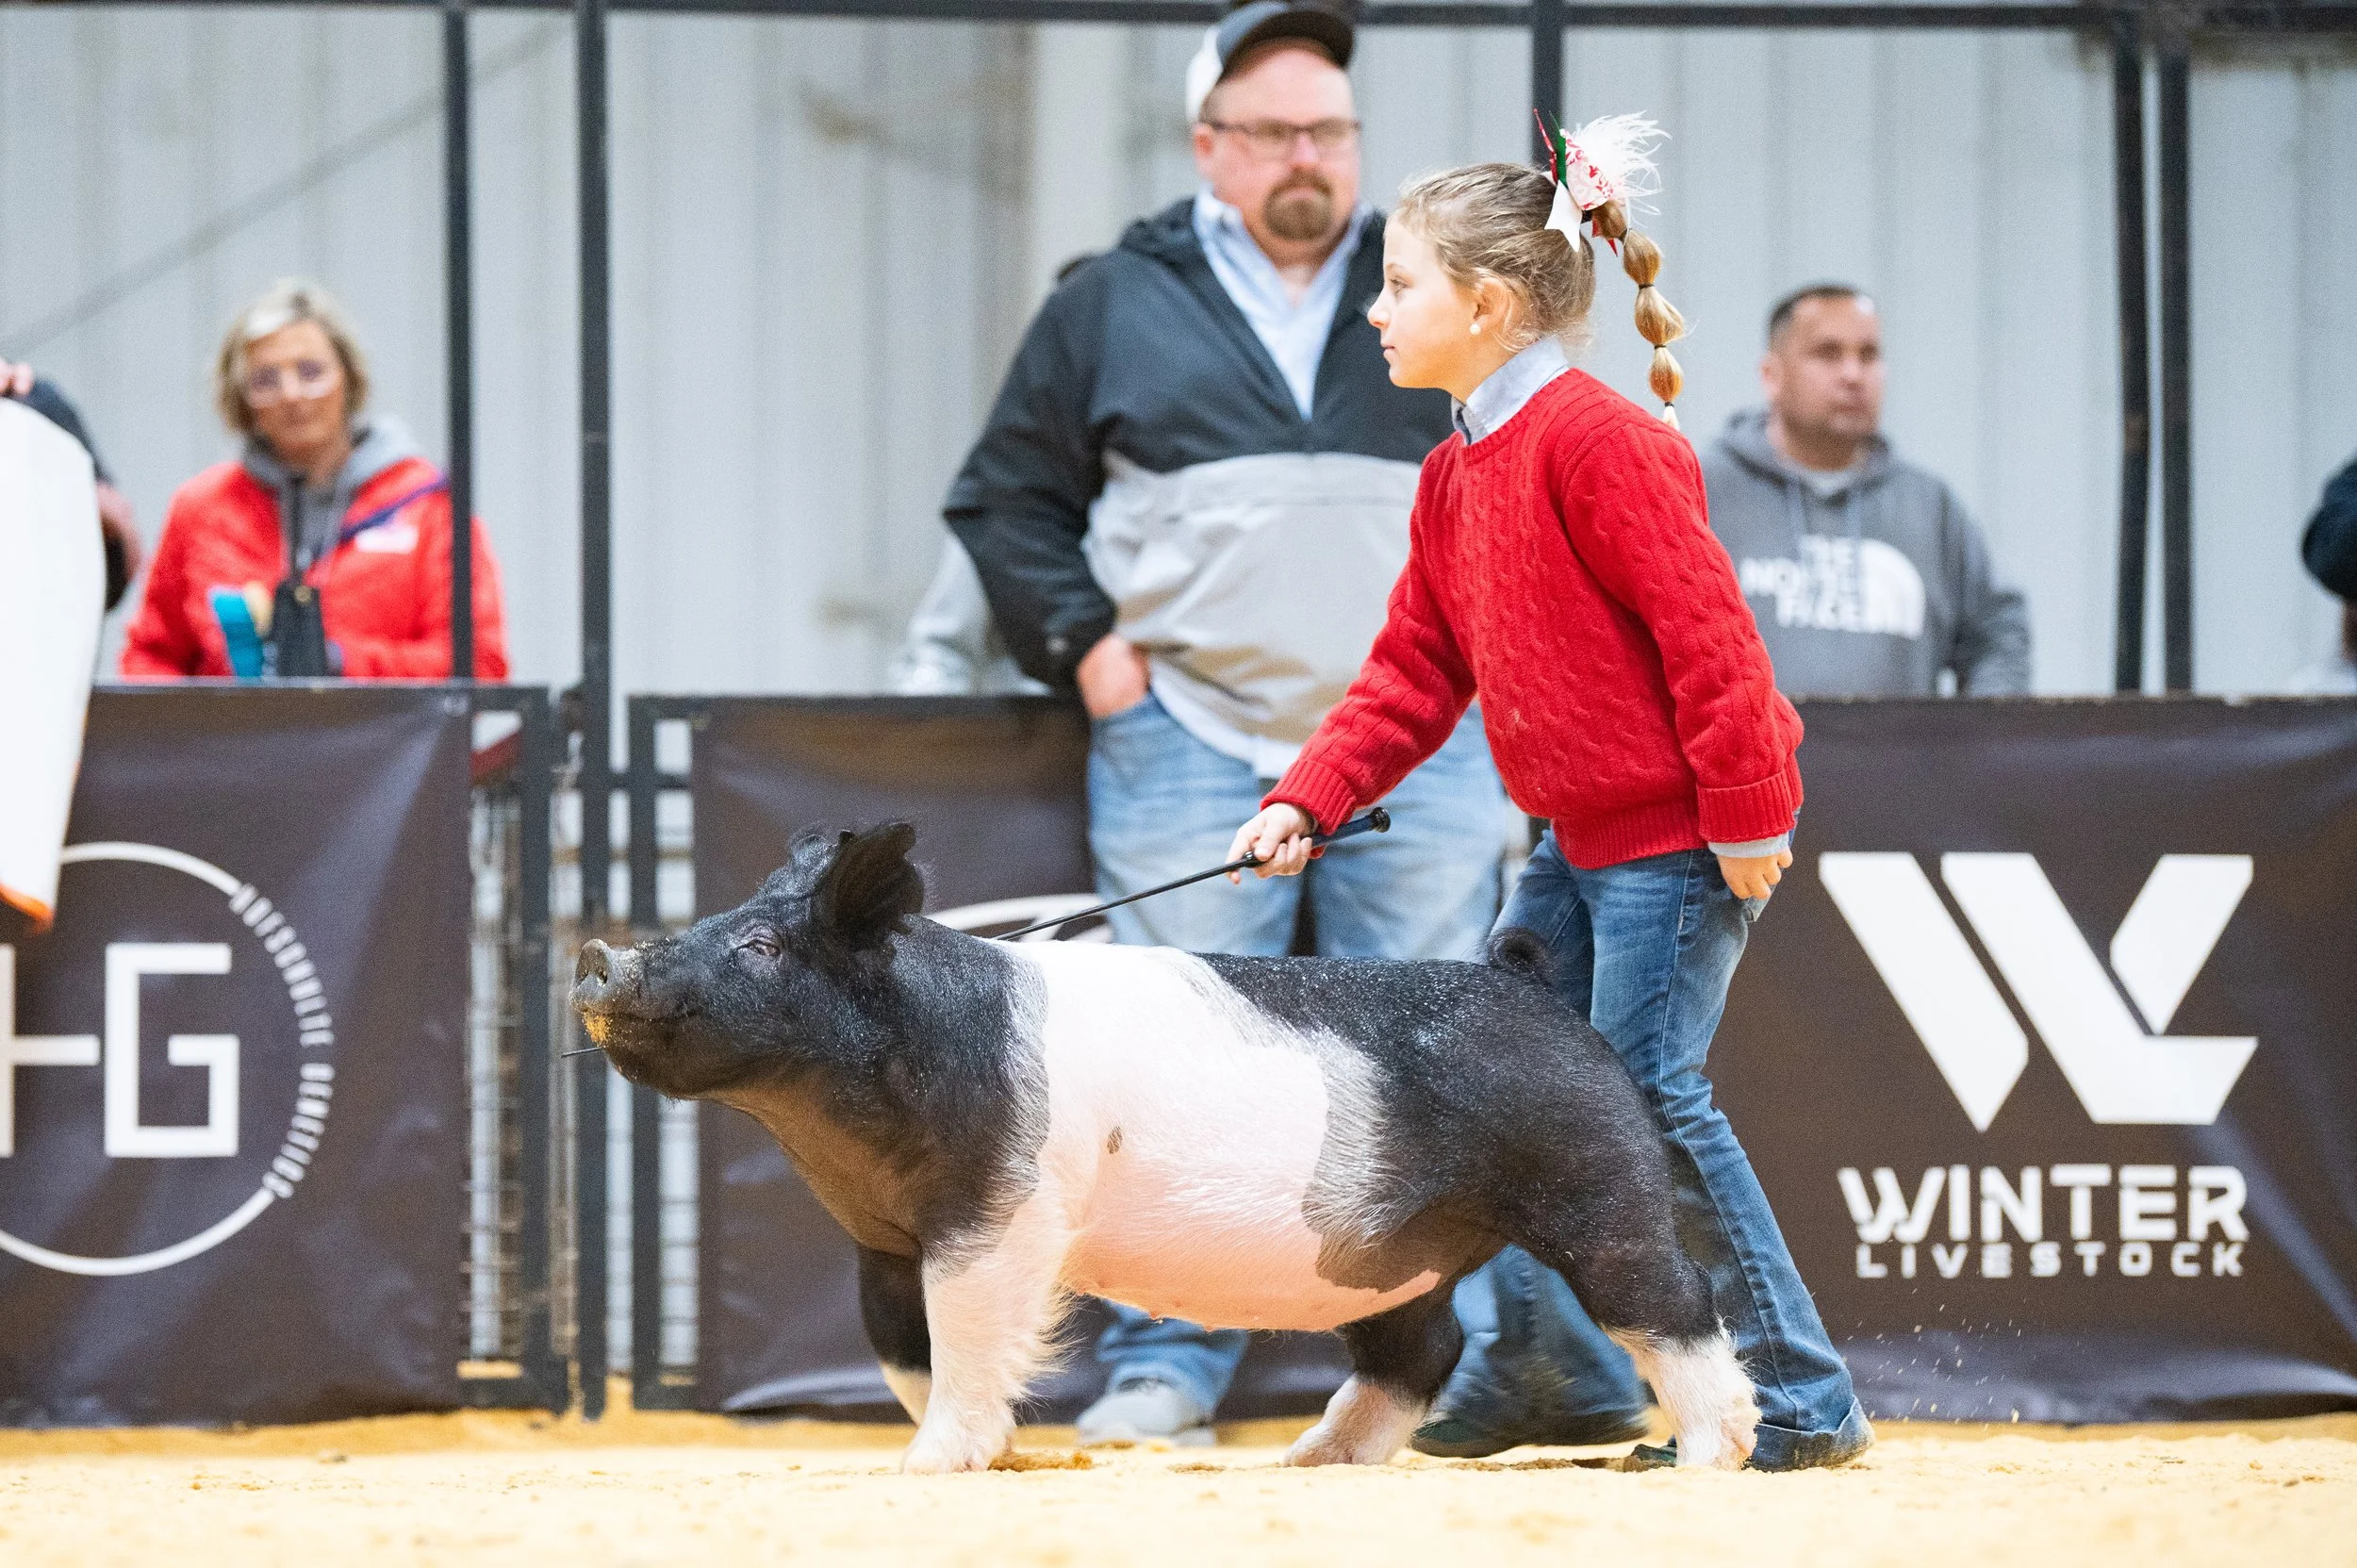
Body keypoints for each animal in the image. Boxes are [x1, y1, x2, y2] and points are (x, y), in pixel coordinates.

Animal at [571, 823, 1759, 1475]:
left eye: (761, 945)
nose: (597, 955)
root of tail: (1529, 983)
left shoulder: (998, 1214)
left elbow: (966, 1338)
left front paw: (929, 1462)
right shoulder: (881, 1240)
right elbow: (906, 1353)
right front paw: (986, 1450)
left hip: (1593, 1181)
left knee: (1676, 1301)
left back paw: (1713, 1453)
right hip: (1395, 1253)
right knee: (1424, 1348)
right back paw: (1307, 1458)